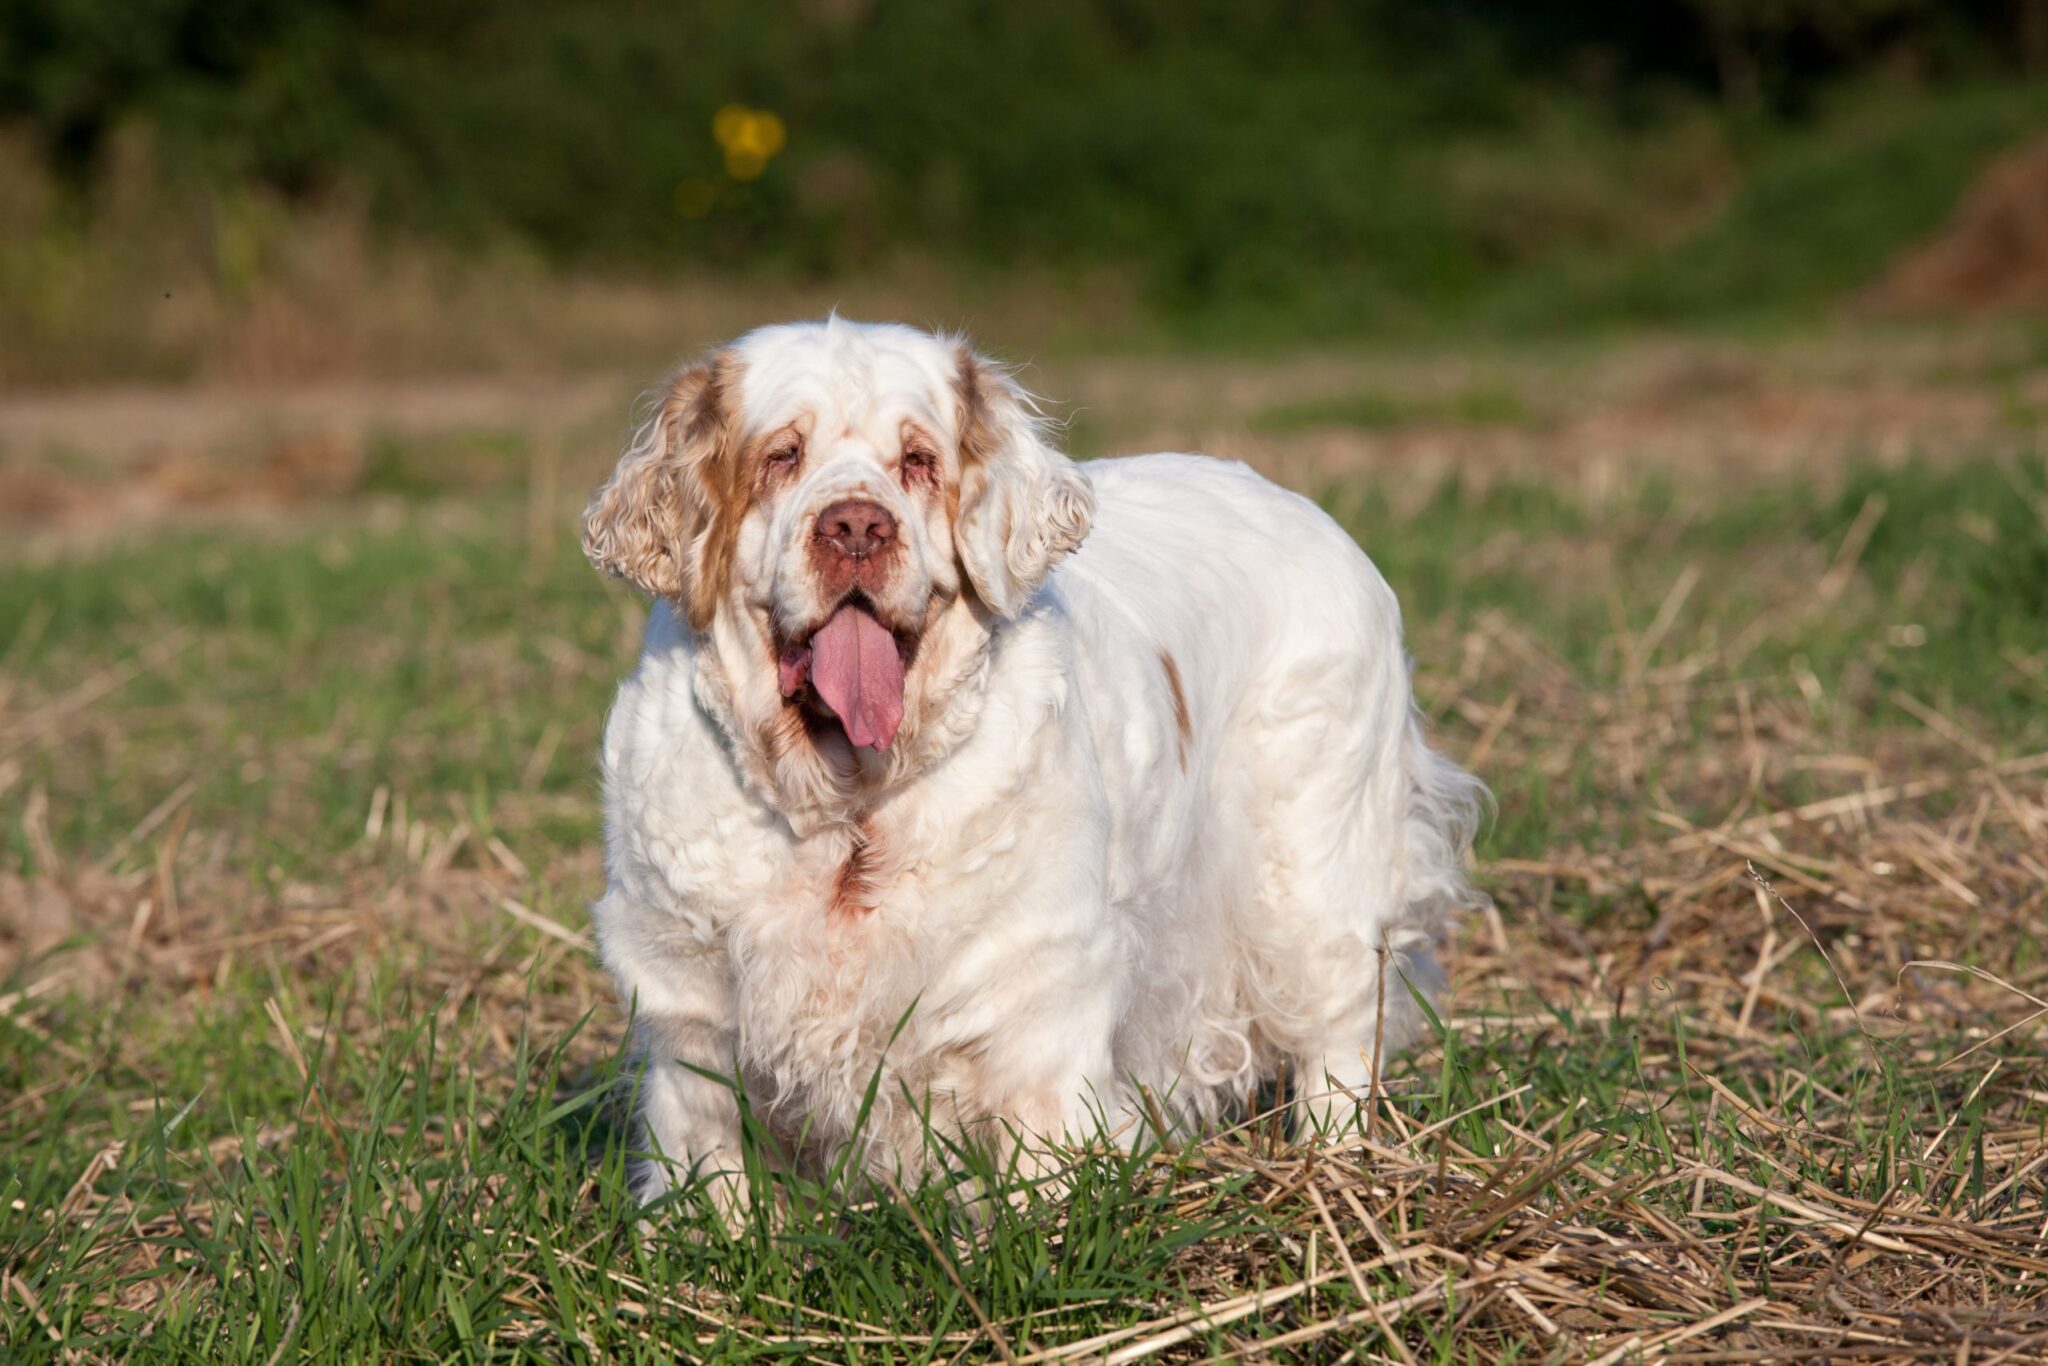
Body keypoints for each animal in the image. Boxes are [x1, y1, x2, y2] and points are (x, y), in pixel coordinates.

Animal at [585, 317, 1482, 1204]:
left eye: (918, 462)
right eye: (781, 457)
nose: (856, 527)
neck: (852, 806)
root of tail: (1306, 509)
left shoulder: (1035, 993)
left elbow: (1045, 1174)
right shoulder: (689, 1011)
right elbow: (708, 1171)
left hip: (1308, 876)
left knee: (1340, 1023)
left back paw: (1340, 1169)